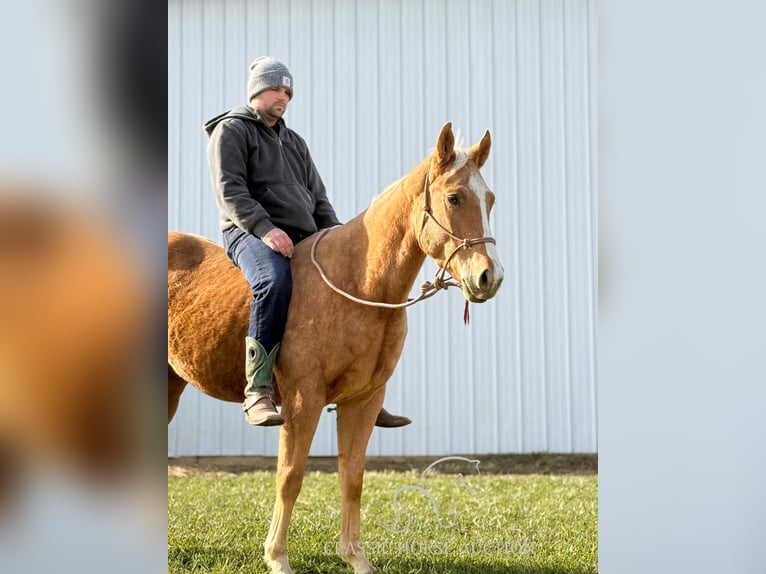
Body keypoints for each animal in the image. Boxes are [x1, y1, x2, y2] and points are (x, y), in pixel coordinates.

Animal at [168, 124, 504, 572]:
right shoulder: (302, 400)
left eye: (490, 198)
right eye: (454, 198)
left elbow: (352, 477)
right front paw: (277, 558)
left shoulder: (363, 401)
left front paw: (355, 558)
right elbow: (290, 476)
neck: (357, 285)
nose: (490, 277)